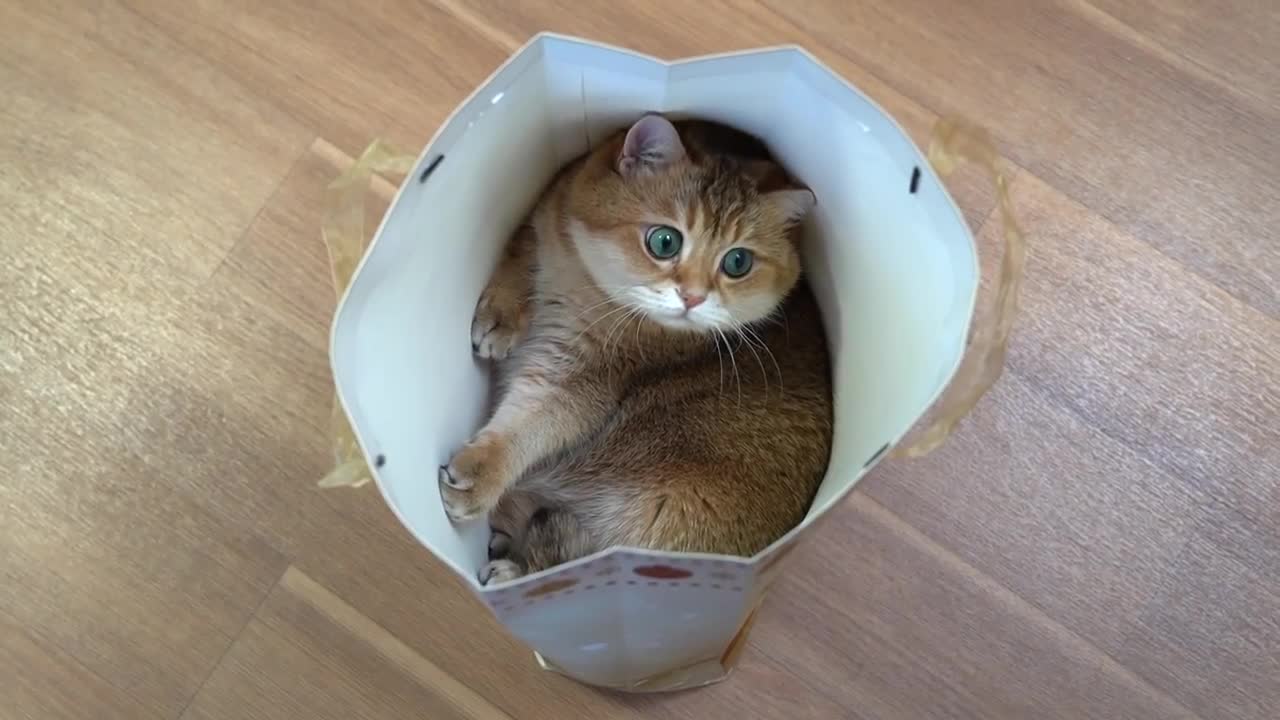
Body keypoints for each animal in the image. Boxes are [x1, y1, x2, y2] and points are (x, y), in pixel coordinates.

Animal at [437, 112, 839, 584]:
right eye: (665, 241)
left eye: (738, 262)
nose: (692, 297)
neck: (585, 283)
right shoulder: (547, 212)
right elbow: (520, 249)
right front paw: (501, 314)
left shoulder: (588, 378)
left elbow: (533, 422)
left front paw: (482, 473)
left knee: (581, 559)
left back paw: (514, 567)